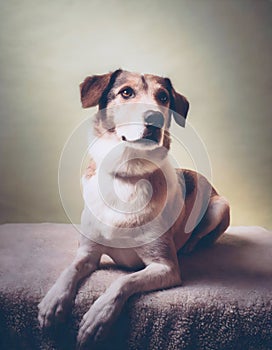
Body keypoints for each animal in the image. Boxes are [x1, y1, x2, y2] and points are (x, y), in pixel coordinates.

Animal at [37, 68, 230, 348]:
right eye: (126, 92)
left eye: (163, 97)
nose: (154, 118)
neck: (127, 177)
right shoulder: (88, 253)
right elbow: (70, 270)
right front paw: (53, 302)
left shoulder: (166, 267)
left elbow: (123, 280)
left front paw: (98, 317)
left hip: (220, 207)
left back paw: (190, 246)